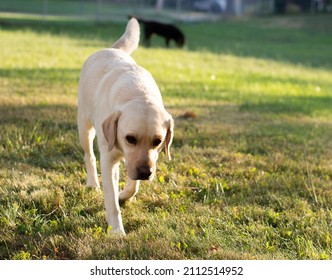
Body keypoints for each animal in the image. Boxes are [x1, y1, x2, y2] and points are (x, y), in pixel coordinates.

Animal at [77, 18, 174, 234]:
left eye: (158, 141)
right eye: (130, 138)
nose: (146, 173)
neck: (137, 94)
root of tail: (110, 49)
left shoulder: (139, 160)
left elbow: (133, 185)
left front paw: (123, 194)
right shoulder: (109, 159)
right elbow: (111, 202)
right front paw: (116, 232)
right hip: (84, 127)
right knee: (89, 156)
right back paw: (92, 183)